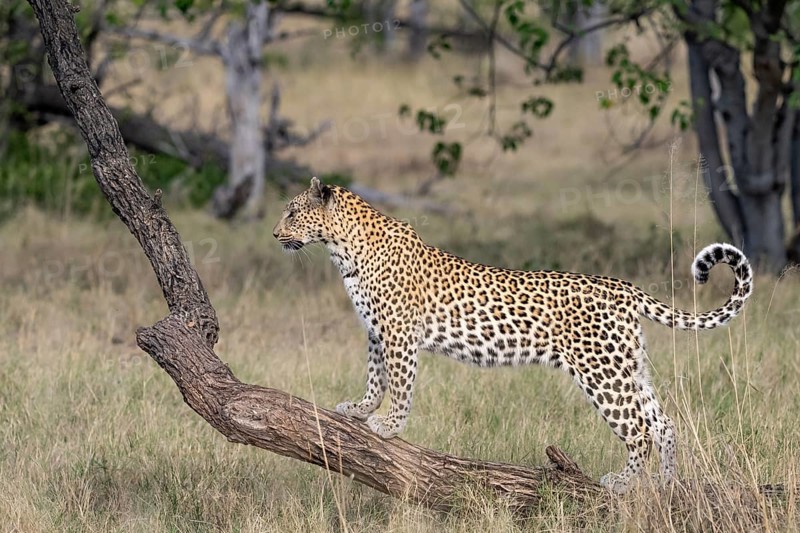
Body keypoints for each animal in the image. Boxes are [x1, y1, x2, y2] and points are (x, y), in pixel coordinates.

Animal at [273, 177, 754, 492]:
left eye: (293, 211)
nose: (276, 233)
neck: (341, 249)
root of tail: (623, 288)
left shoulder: (398, 333)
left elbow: (401, 383)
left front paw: (389, 426)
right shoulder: (376, 333)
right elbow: (376, 378)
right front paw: (359, 409)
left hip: (600, 371)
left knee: (639, 429)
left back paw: (620, 482)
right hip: (627, 366)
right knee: (664, 423)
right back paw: (668, 485)